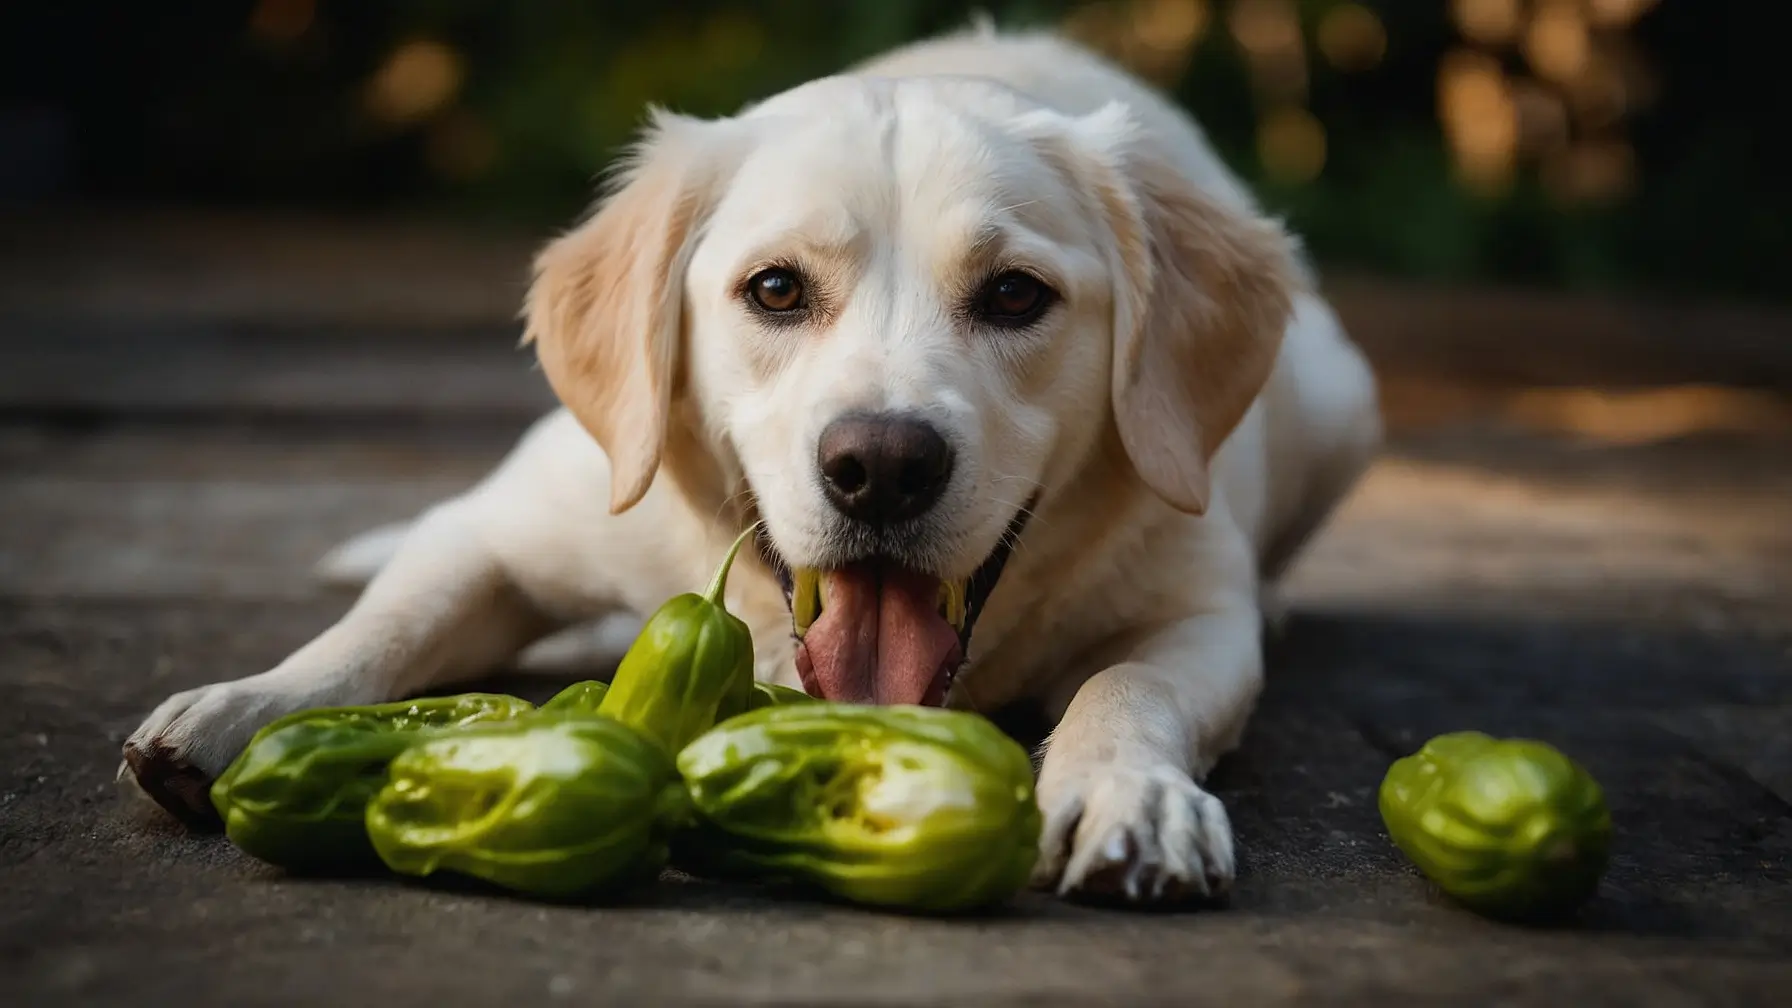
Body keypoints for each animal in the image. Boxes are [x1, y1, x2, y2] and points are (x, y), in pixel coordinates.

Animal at [122, 25, 1383, 903]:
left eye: (1015, 296)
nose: (882, 466)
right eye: (776, 289)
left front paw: (1129, 794)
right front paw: (247, 706)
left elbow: (1130, 685)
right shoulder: (498, 528)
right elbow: (386, 626)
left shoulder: (1196, 609)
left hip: (1342, 397)